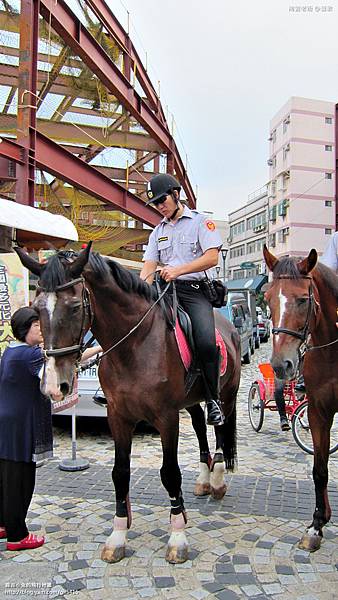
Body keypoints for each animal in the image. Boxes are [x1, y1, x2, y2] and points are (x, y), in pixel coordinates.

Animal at [14, 245, 239, 564]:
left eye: (74, 307)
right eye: (36, 308)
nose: (55, 386)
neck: (136, 345)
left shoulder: (166, 418)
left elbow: (170, 473)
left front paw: (178, 536)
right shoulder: (118, 416)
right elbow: (120, 473)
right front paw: (118, 536)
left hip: (226, 394)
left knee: (220, 428)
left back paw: (217, 480)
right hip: (191, 400)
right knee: (198, 425)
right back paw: (205, 479)